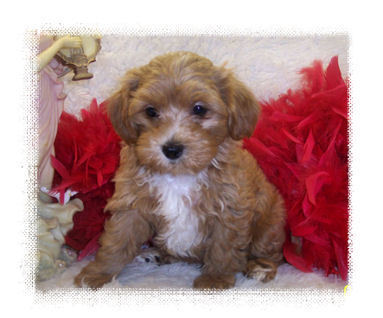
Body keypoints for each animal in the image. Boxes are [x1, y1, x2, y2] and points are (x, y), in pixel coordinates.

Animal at [74, 51, 284, 290]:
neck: (179, 175)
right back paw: (157, 254)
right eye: (151, 111)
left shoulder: (230, 208)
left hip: (270, 217)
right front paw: (98, 273)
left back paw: (260, 266)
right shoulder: (131, 204)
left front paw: (215, 279)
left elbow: (223, 247)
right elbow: (117, 240)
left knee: (269, 248)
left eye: (199, 109)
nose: (172, 149)